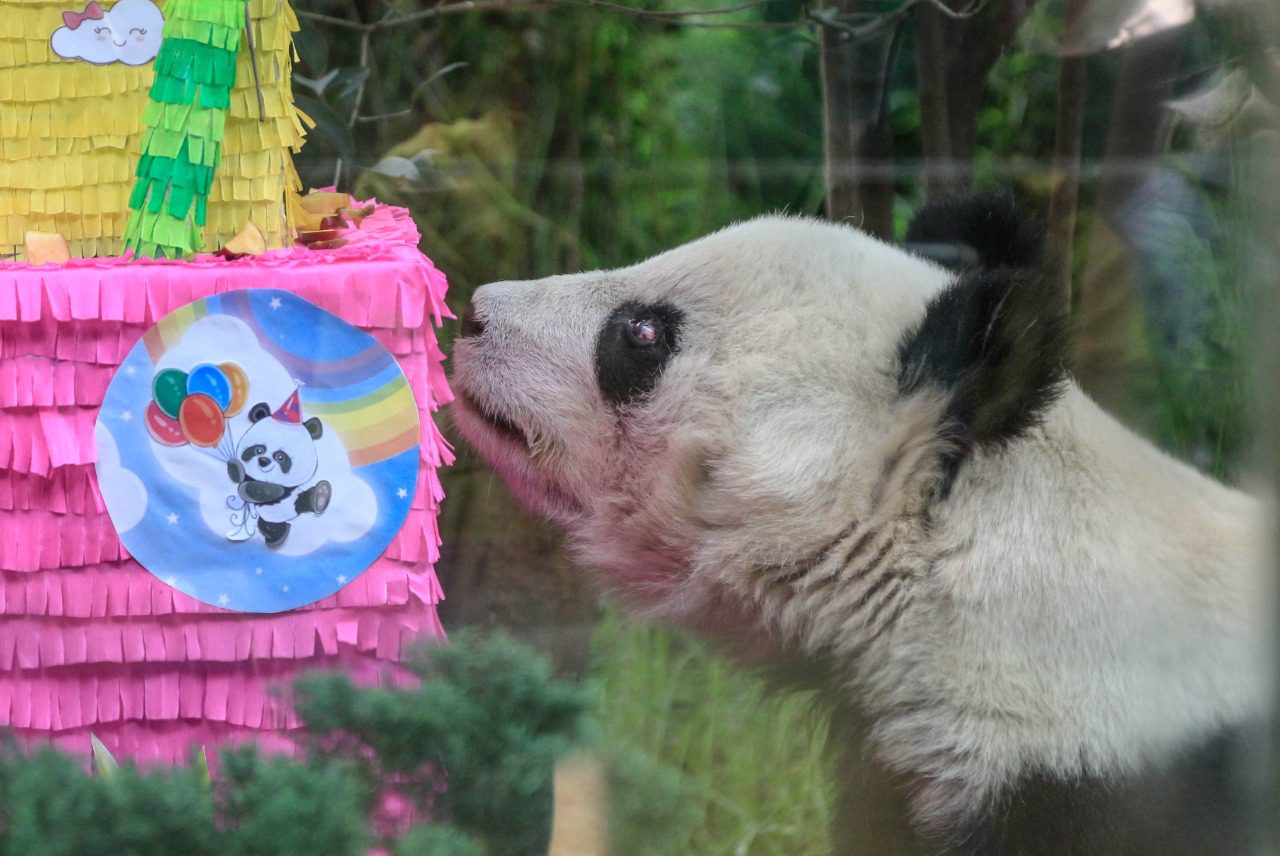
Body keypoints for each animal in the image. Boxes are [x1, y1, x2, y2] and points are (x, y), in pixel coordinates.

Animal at [226, 392, 332, 549]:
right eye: (259, 450)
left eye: (280, 457)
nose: (263, 461)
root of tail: (292, 515)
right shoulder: (252, 480)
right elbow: (246, 485)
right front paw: (236, 468)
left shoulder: (287, 488)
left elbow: (274, 491)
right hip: (270, 518)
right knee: (270, 527)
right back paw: (278, 536)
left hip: (297, 499)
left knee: (305, 499)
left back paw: (320, 496)